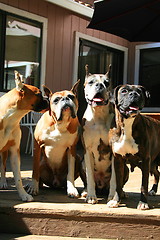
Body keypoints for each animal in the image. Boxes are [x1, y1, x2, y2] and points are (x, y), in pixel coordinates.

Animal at [0, 71, 48, 201]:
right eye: (38, 94)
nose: (48, 98)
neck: (9, 118)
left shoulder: (14, 151)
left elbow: (18, 178)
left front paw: (23, 195)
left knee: (3, 167)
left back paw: (3, 182)